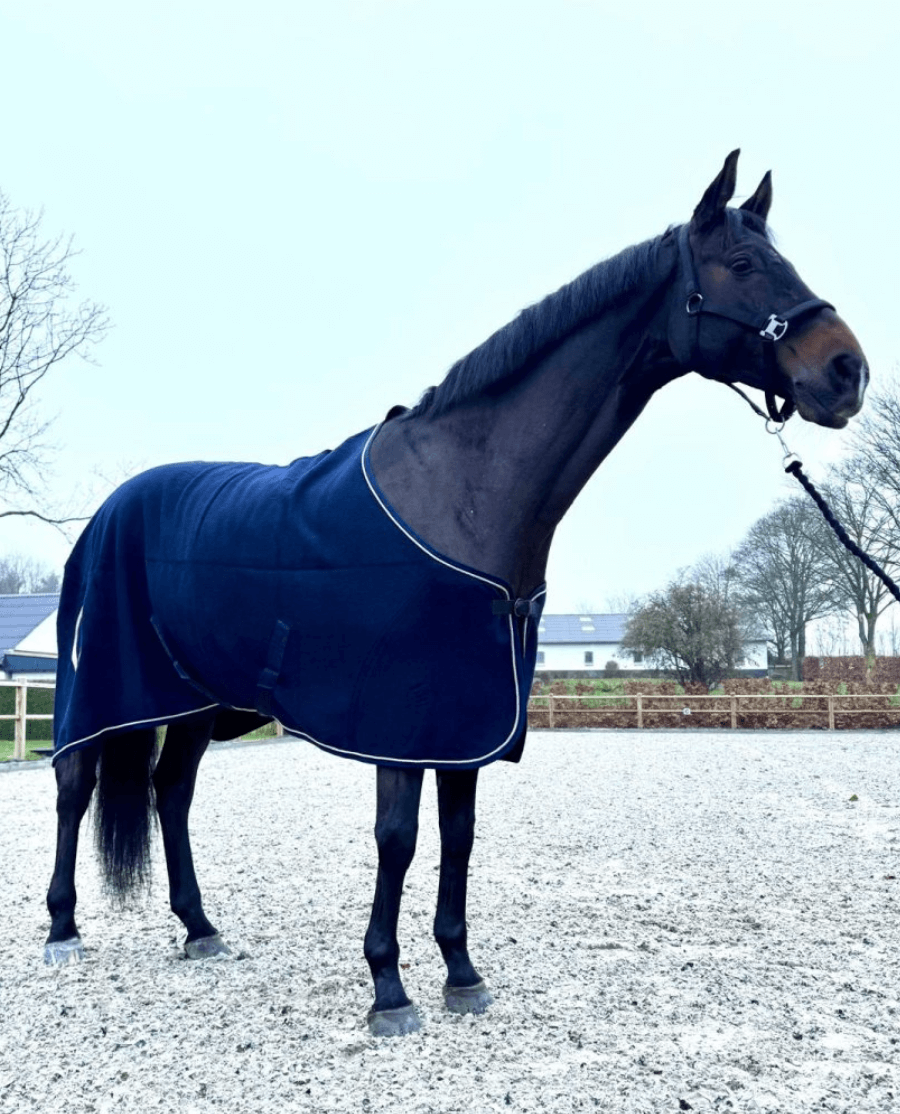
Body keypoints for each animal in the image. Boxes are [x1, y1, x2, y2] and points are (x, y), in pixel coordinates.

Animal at [44, 151, 868, 1036]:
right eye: (745, 264)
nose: (847, 371)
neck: (466, 490)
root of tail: (113, 506)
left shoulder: (465, 716)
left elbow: (459, 835)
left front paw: (461, 973)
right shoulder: (402, 720)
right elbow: (398, 837)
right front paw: (388, 987)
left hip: (195, 701)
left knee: (172, 793)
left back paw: (199, 927)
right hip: (99, 689)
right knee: (74, 785)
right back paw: (62, 929)